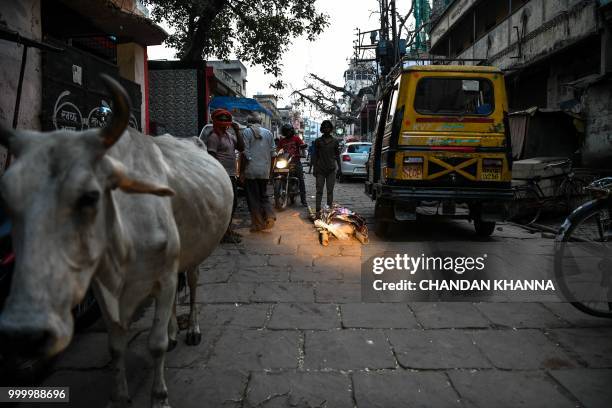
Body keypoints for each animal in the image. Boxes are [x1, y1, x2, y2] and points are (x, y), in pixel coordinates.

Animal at [0, 75, 232, 406]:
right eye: (7, 198)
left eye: (90, 196)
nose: (25, 330)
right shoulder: (102, 286)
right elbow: (116, 346)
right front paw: (121, 396)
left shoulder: (164, 278)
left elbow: (155, 344)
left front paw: (160, 396)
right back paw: (175, 331)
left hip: (193, 255)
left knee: (194, 283)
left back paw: (192, 330)